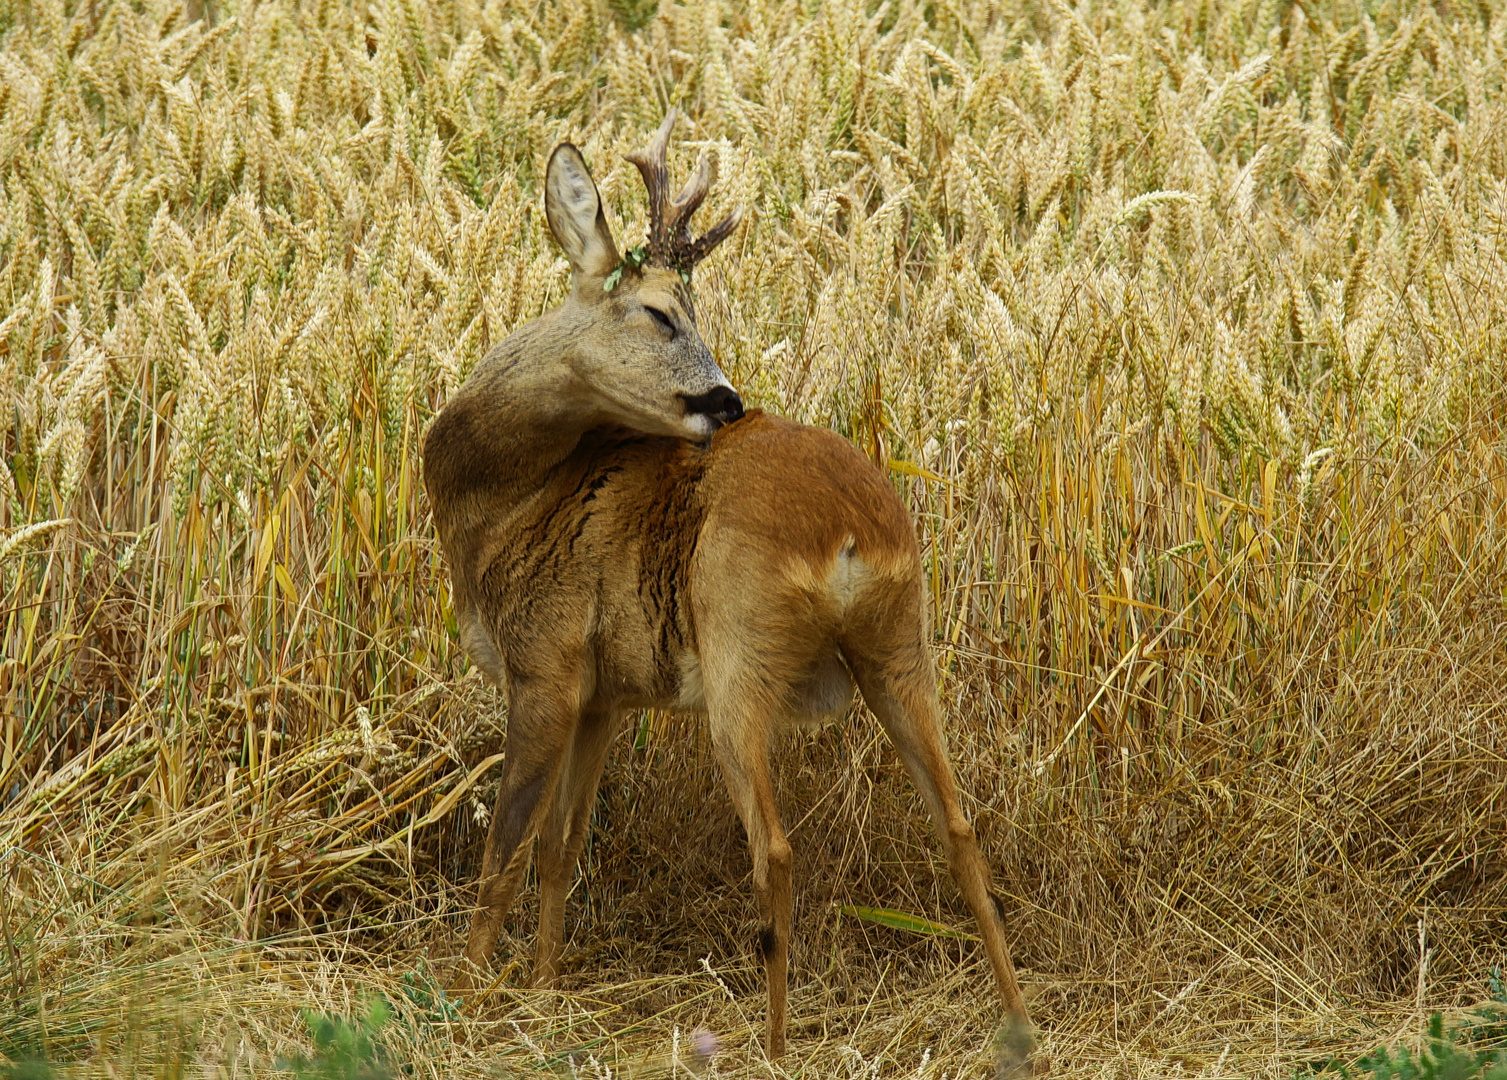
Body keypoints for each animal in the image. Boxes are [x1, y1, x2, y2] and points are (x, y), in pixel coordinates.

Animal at [424, 109, 1036, 1054]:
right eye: (657, 313)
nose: (725, 400)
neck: (501, 505)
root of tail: (848, 531)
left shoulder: (544, 664)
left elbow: (507, 848)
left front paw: (462, 998)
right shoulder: (605, 693)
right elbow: (563, 846)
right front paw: (544, 986)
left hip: (735, 649)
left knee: (774, 848)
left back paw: (778, 1045)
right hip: (901, 644)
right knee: (960, 825)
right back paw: (1016, 1024)